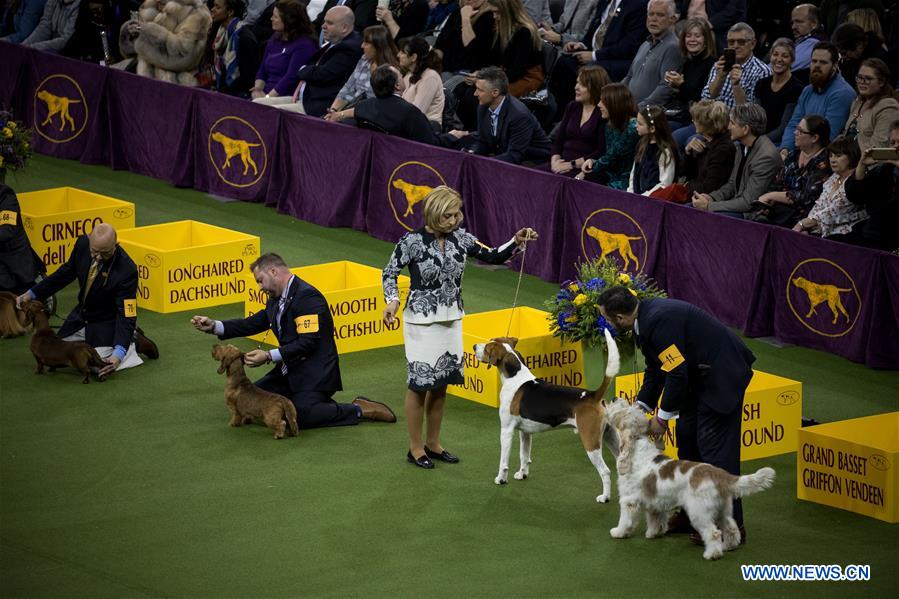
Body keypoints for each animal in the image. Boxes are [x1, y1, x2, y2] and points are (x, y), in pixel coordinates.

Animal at [474, 330, 624, 504]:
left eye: (487, 348)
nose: (474, 346)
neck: (515, 377)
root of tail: (593, 396)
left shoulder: (506, 430)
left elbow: (503, 461)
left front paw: (501, 479)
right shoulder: (525, 432)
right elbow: (524, 455)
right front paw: (522, 474)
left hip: (591, 443)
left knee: (605, 471)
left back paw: (605, 497)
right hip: (611, 437)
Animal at [608, 398, 776, 564]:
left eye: (621, 408)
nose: (614, 398)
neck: (637, 448)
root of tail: (719, 474)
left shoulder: (628, 500)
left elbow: (625, 520)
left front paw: (618, 532)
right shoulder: (655, 502)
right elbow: (656, 519)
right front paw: (654, 533)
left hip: (699, 512)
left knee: (714, 532)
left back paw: (712, 554)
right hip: (723, 510)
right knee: (731, 527)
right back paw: (728, 546)